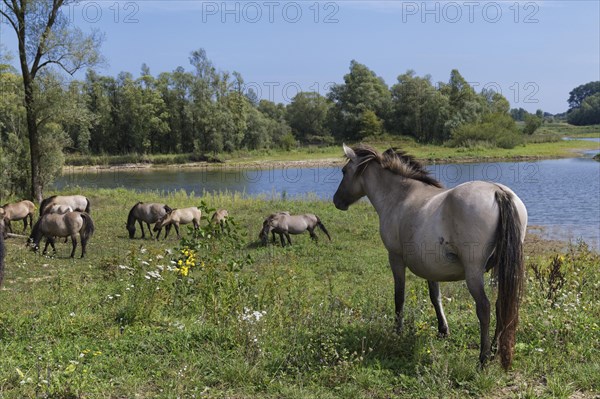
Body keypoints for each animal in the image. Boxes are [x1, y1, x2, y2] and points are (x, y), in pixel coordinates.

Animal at [332, 145, 524, 372]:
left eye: (344, 171)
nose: (336, 201)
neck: (400, 196)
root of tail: (497, 191)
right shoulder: (431, 266)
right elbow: (435, 297)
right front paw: (443, 330)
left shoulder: (395, 257)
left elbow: (399, 296)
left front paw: (397, 332)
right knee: (500, 305)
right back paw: (494, 351)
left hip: (474, 273)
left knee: (484, 308)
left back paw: (483, 358)